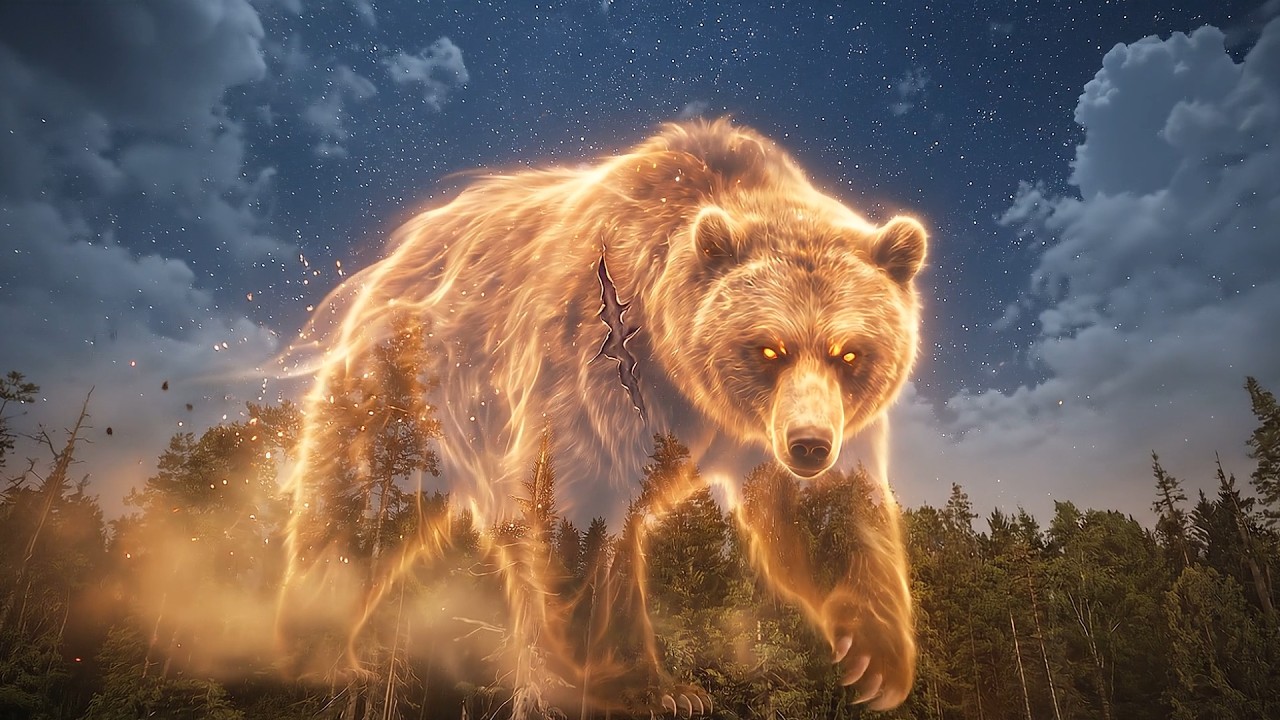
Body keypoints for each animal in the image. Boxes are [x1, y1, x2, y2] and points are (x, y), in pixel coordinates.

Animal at [279, 118, 927, 713]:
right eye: (769, 348)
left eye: (850, 352)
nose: (809, 444)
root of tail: (400, 252)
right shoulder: (596, 379)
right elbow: (590, 513)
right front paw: (654, 688)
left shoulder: (789, 429)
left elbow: (826, 509)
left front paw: (874, 660)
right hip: (411, 385)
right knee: (357, 505)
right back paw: (322, 649)